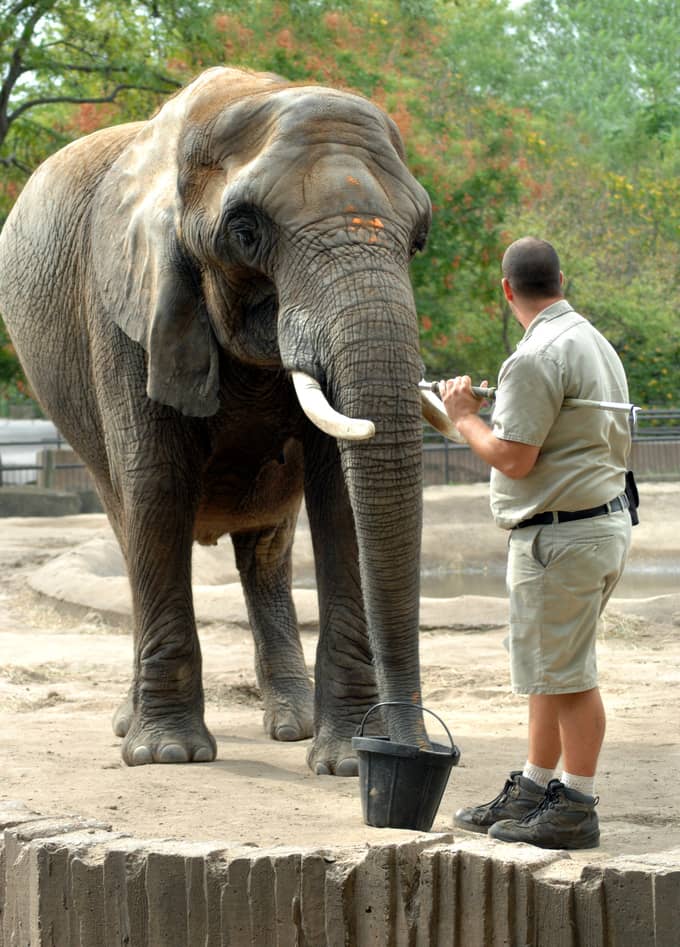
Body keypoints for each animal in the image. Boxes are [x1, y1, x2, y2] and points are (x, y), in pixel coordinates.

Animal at [1, 68, 456, 776]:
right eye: (244, 232)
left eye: (419, 239)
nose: (411, 754)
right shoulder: (127, 304)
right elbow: (156, 485)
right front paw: (166, 754)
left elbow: (340, 502)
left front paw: (346, 763)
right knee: (129, 521)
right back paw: (132, 722)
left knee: (267, 549)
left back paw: (292, 725)